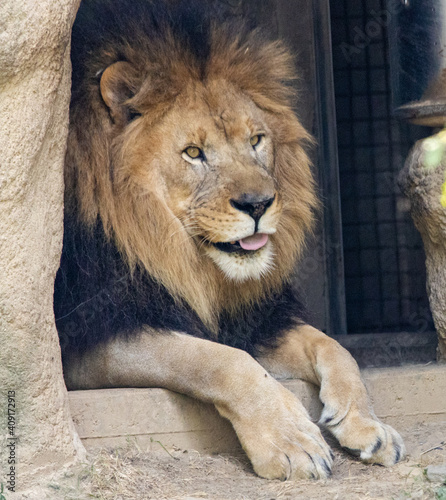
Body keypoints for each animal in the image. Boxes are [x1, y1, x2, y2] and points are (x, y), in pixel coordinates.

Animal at [54, 0, 406, 480]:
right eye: (193, 152)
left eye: (256, 140)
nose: (258, 204)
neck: (181, 261)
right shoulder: (91, 337)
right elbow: (221, 360)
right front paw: (291, 442)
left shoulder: (254, 319)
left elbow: (332, 346)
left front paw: (367, 425)